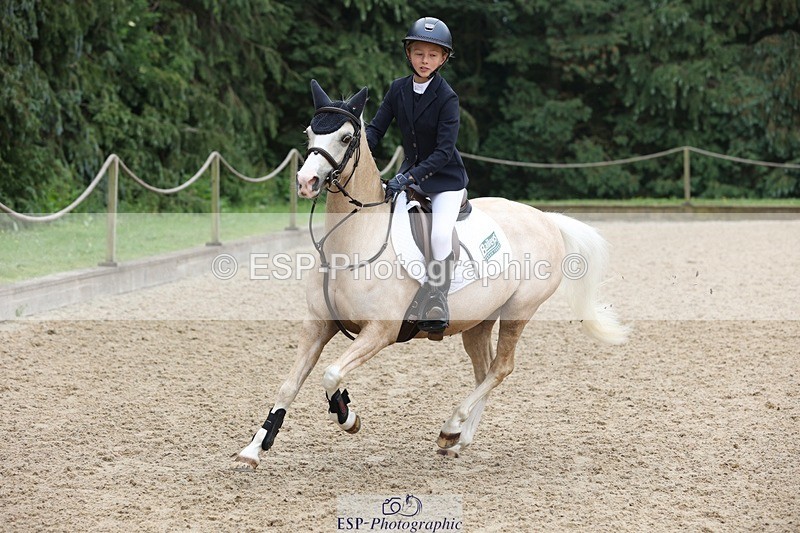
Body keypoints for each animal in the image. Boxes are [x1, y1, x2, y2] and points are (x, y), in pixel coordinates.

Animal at [235, 80, 628, 469]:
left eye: (346, 138)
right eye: (309, 133)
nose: (306, 181)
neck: (353, 241)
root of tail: (546, 218)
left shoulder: (380, 331)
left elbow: (332, 373)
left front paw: (347, 415)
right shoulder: (318, 324)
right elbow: (289, 384)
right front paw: (254, 449)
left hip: (519, 310)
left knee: (501, 368)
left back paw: (451, 426)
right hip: (478, 320)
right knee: (484, 370)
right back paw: (457, 440)